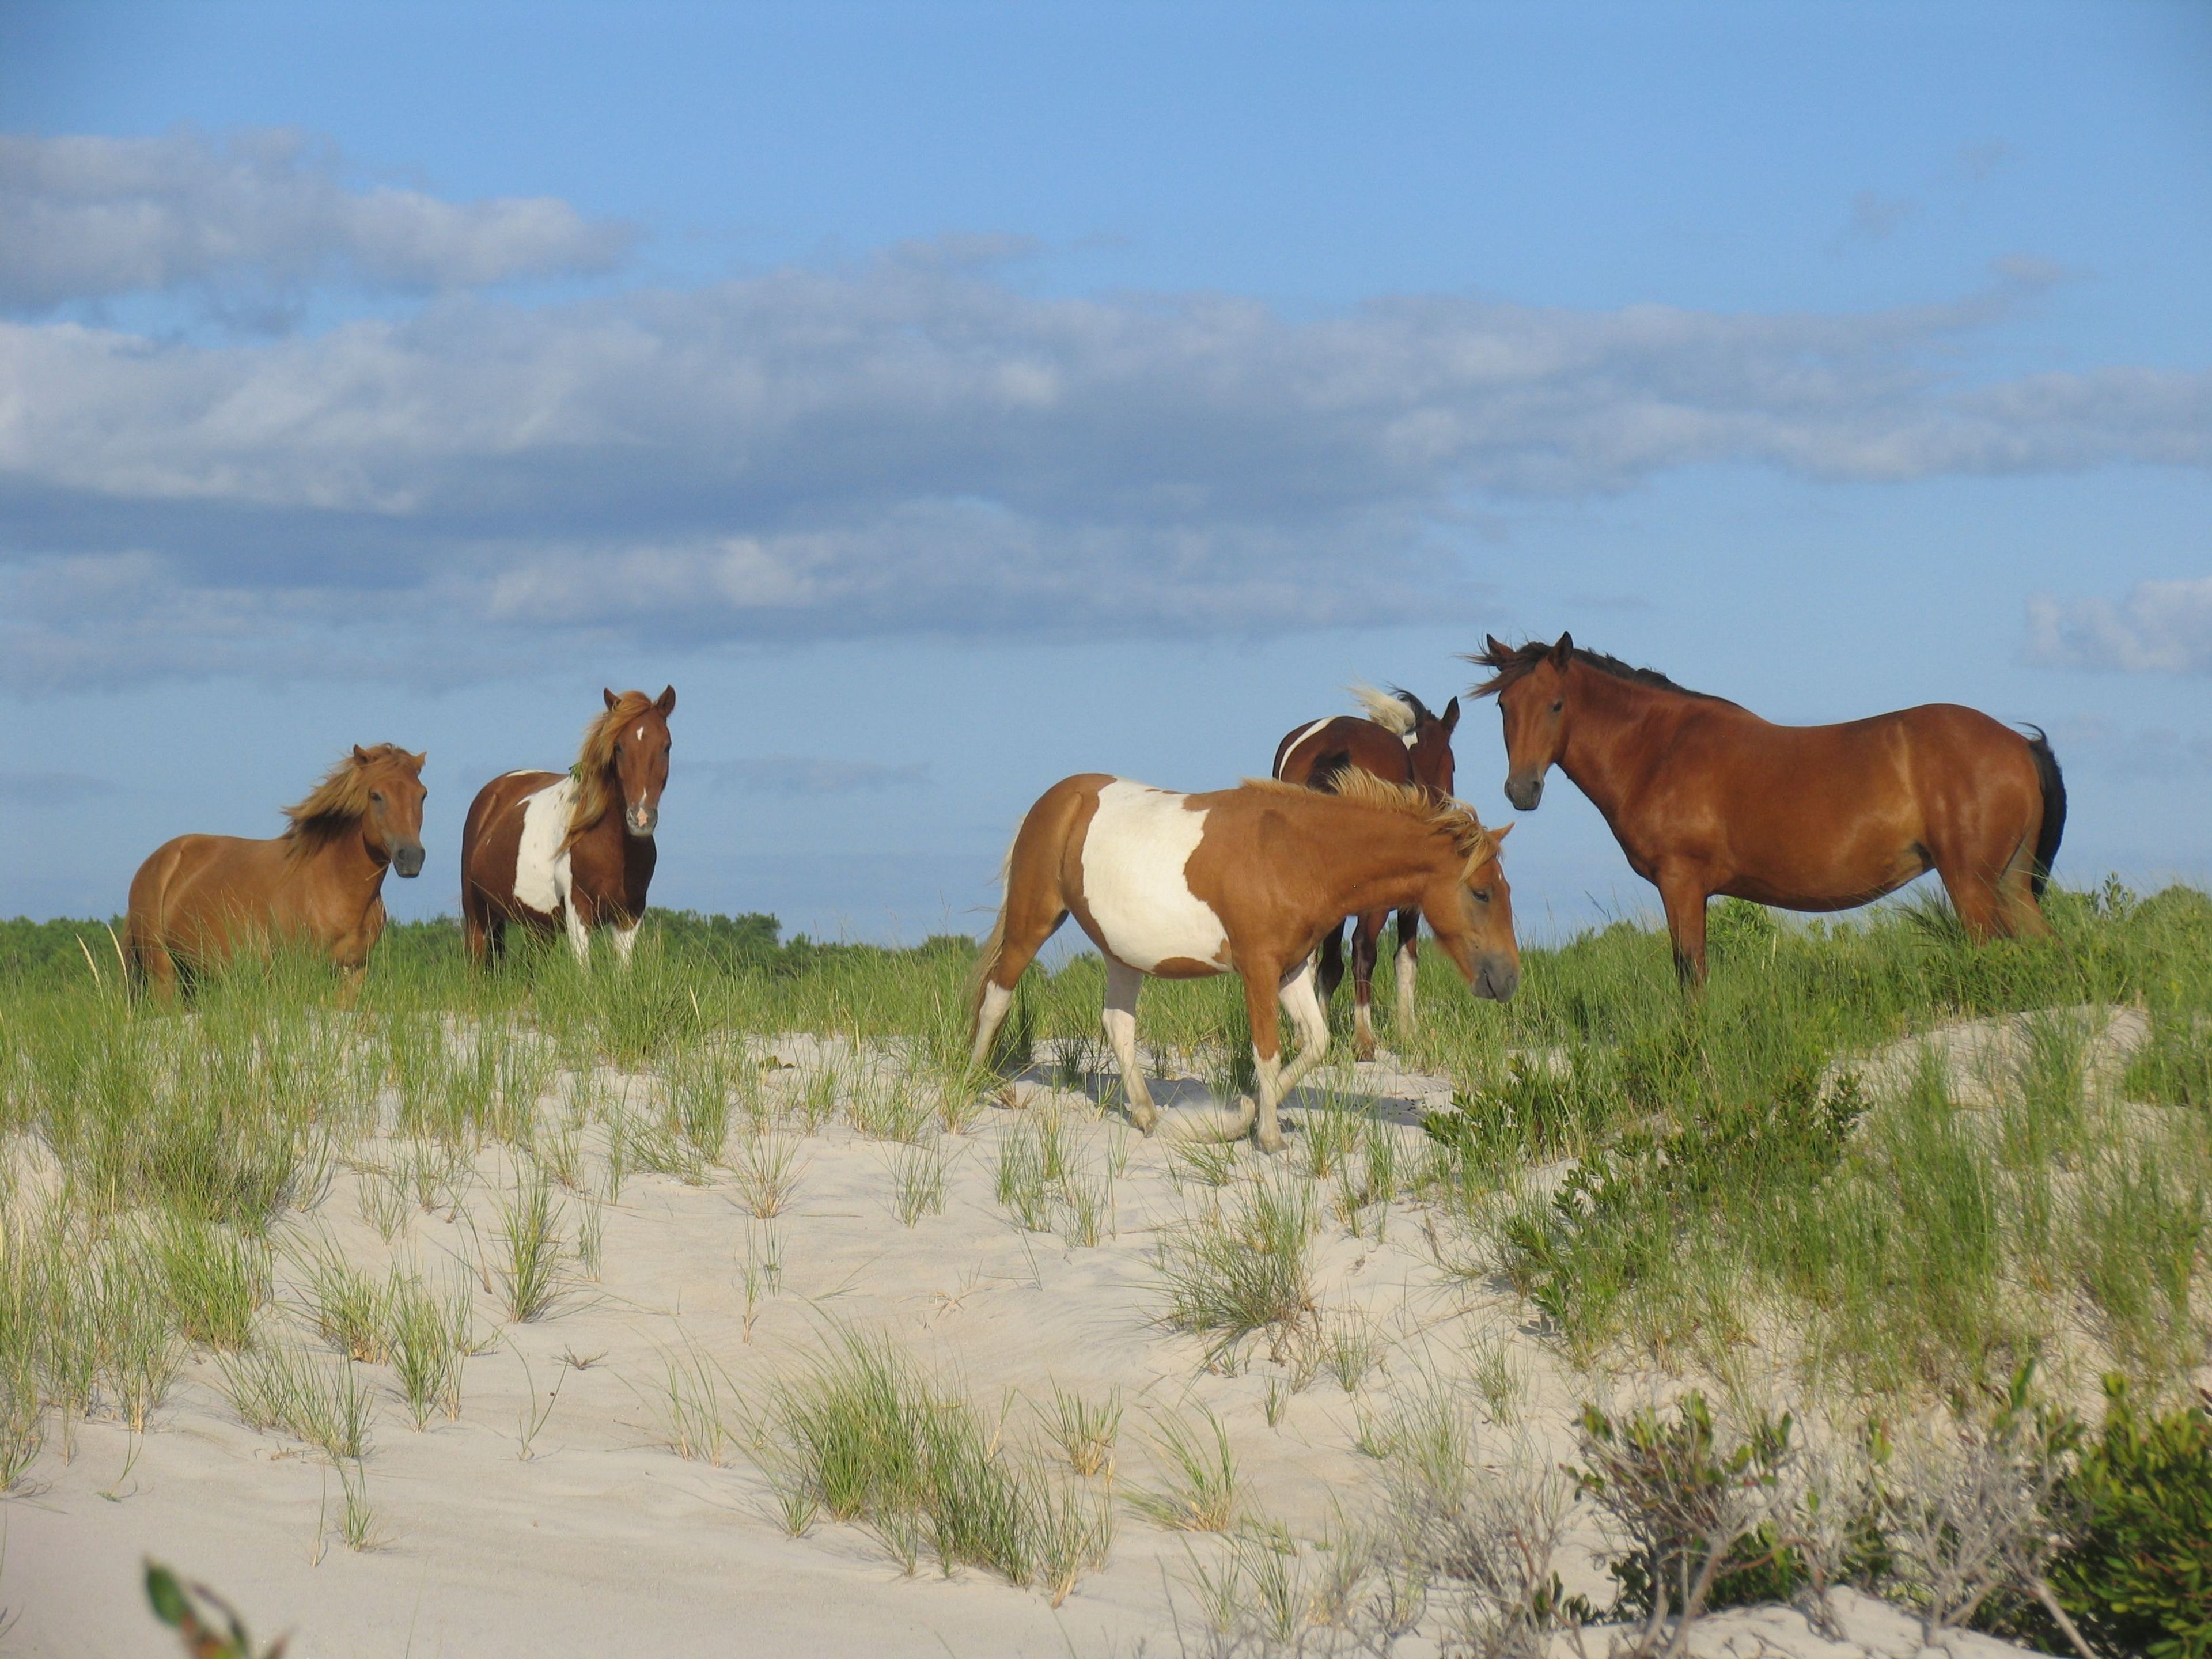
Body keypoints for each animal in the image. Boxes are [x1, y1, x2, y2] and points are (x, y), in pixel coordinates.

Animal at [127, 752, 429, 999]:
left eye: (422, 795)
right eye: (376, 795)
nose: (411, 857)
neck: (335, 883)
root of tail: (157, 862)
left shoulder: (353, 973)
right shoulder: (302, 972)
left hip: (191, 975)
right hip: (162, 972)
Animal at [457, 690, 672, 973]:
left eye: (666, 746)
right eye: (618, 747)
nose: (641, 818)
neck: (610, 847)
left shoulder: (630, 914)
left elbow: (623, 972)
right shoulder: (578, 911)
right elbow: (584, 972)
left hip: (539, 927)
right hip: (478, 916)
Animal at [973, 778, 1521, 1159]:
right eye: (1482, 893)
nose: (1508, 979)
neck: (1296, 855)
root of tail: (1056, 801)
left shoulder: (1292, 970)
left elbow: (1315, 1045)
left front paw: (1241, 1120)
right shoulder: (1258, 970)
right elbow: (1268, 1053)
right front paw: (1270, 1138)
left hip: (1122, 954)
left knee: (1118, 1025)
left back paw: (1148, 1115)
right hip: (1032, 923)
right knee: (997, 998)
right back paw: (973, 1084)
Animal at [1274, 681, 1460, 1057]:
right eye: (1452, 765)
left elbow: (1329, 966)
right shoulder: (1410, 906)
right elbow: (1405, 961)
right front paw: (1407, 1032)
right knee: (1363, 950)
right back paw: (1364, 1038)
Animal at [1468, 628, 2070, 982]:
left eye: (1556, 704)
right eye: (1503, 706)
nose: (1522, 791)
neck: (1659, 749)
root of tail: (2020, 745)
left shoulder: (1681, 884)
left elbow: (1691, 973)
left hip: (1972, 884)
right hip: (2012, 883)